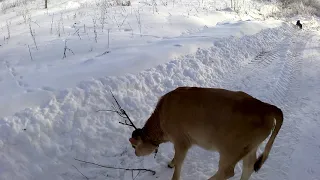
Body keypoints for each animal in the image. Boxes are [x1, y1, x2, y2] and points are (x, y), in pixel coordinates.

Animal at [127, 86, 282, 179]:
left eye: (134, 146)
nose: (135, 154)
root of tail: (265, 107)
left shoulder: (181, 141)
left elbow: (179, 162)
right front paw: (171, 163)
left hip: (230, 150)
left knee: (226, 172)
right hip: (250, 148)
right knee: (248, 167)